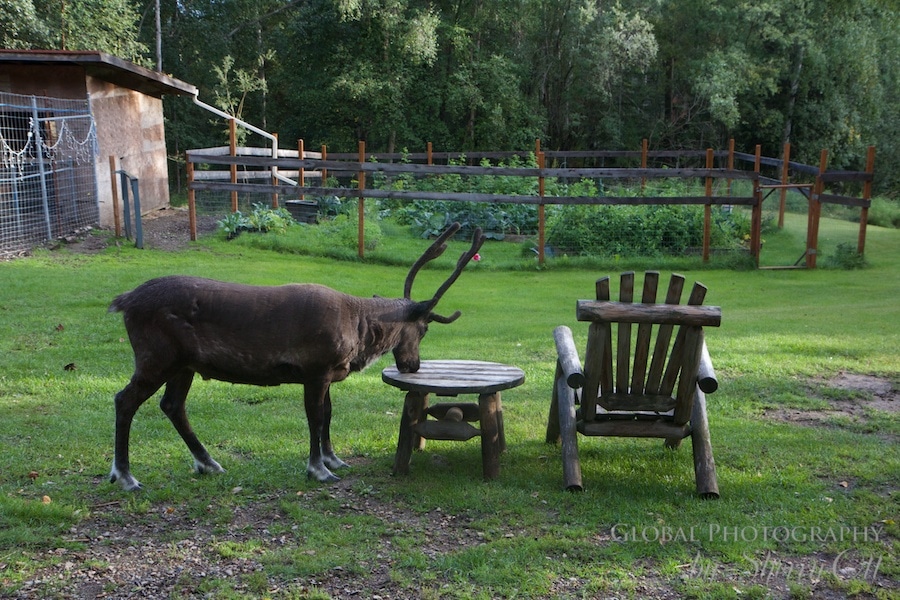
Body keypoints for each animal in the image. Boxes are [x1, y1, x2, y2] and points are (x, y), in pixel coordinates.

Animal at [108, 223, 485, 491]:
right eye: (423, 329)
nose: (413, 365)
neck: (359, 327)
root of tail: (124, 300)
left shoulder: (327, 374)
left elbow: (329, 415)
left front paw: (333, 459)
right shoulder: (315, 370)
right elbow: (315, 418)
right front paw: (318, 470)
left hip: (183, 364)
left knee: (172, 405)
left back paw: (209, 463)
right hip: (156, 357)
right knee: (125, 400)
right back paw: (125, 476)